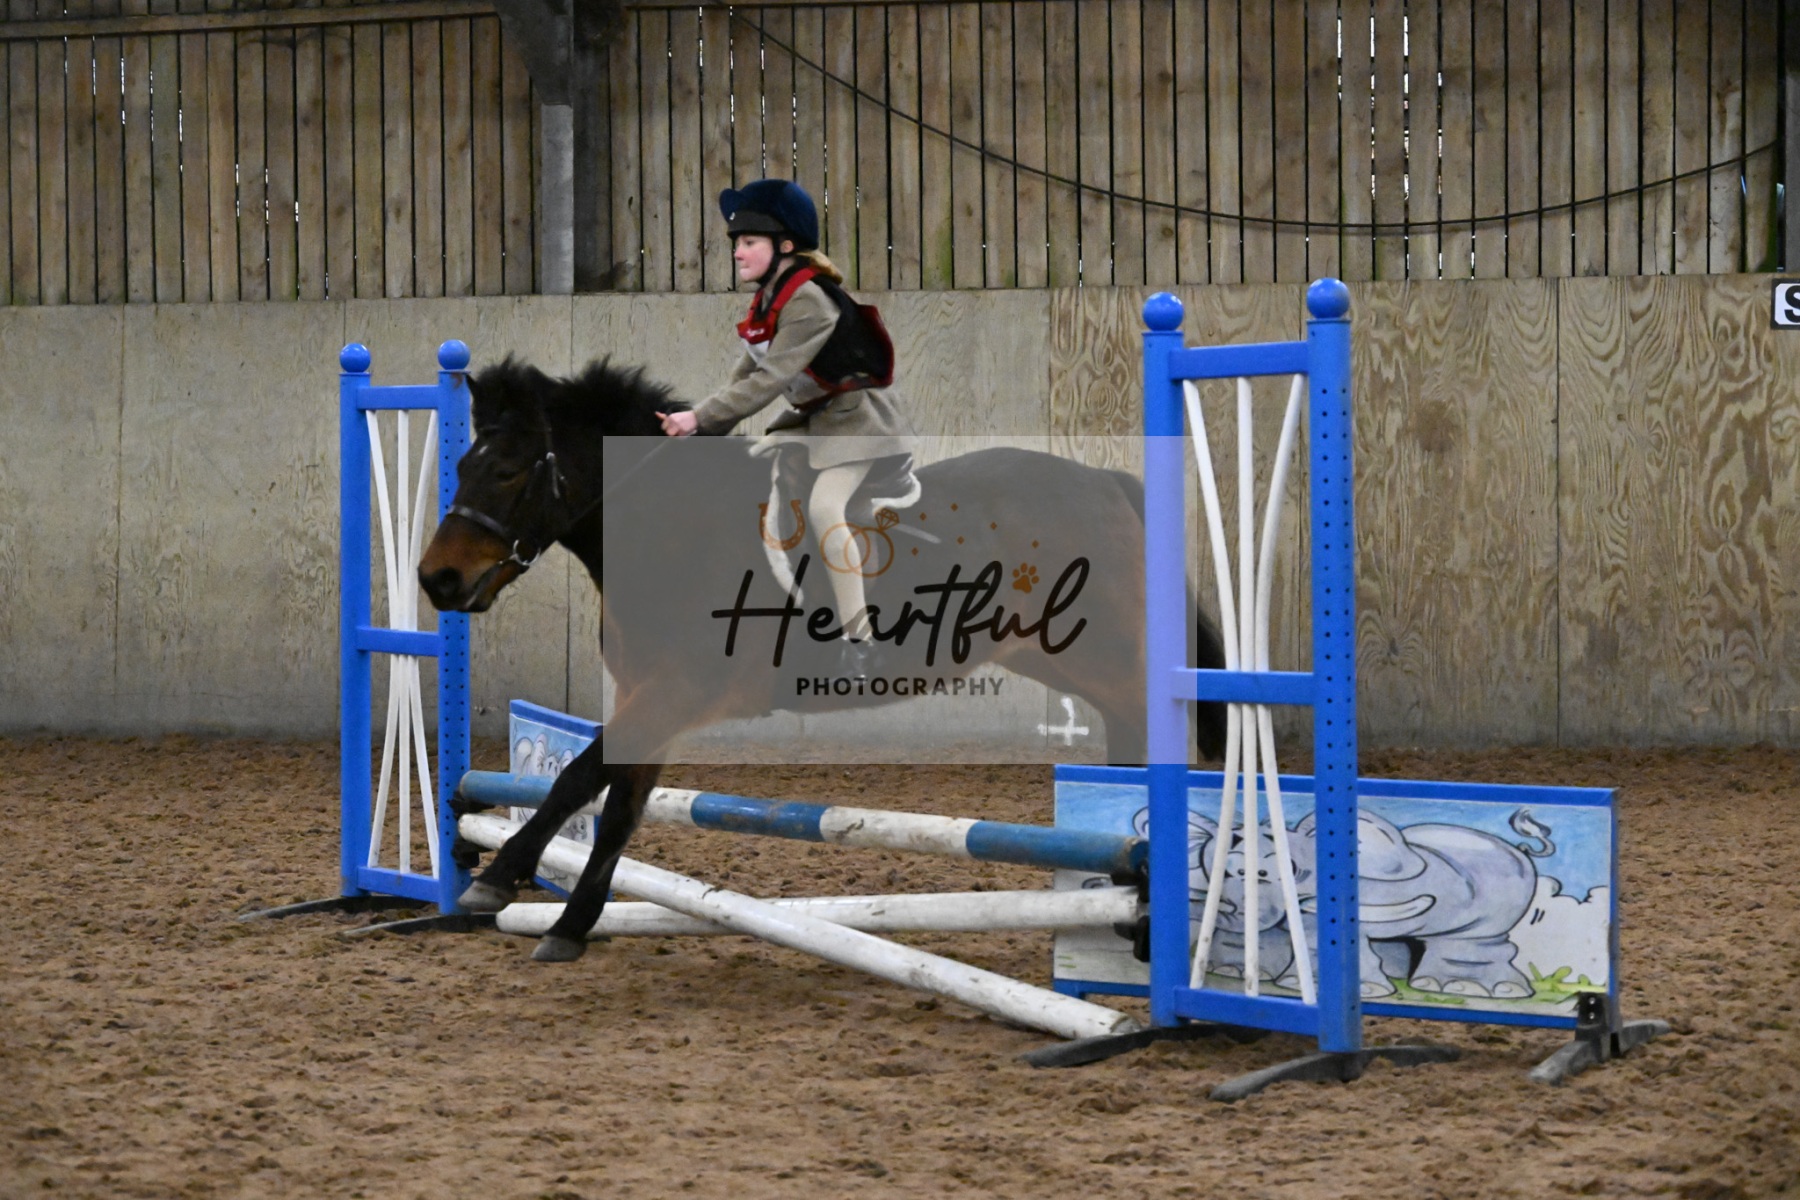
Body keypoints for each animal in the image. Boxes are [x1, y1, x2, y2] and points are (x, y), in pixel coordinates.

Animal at [417, 357, 1227, 962]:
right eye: (464, 464)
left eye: (510, 469)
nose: (437, 580)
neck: (670, 527)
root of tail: (1106, 484)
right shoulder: (649, 696)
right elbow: (615, 803)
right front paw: (569, 923)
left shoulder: (677, 691)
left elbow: (581, 777)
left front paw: (501, 878)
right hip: (1061, 654)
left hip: (1102, 649)